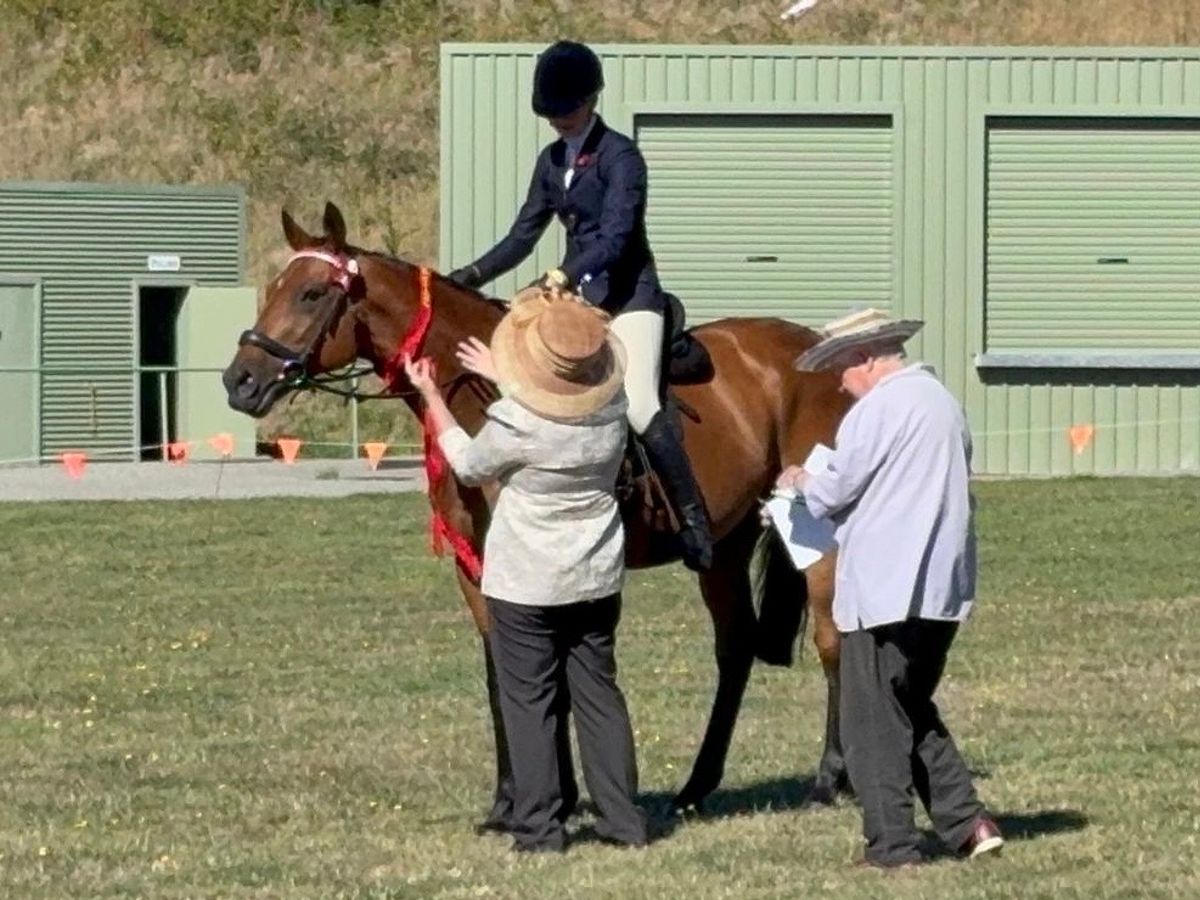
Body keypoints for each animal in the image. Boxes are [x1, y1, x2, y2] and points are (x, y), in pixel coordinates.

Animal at [223, 202, 854, 820]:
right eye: (274, 287)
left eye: (310, 294)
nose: (240, 381)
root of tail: (813, 350)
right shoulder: (480, 567)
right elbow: (504, 670)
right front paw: (518, 799)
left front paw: (549, 799)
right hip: (725, 547)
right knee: (735, 647)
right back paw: (697, 788)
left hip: (819, 539)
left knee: (831, 639)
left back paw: (830, 778)